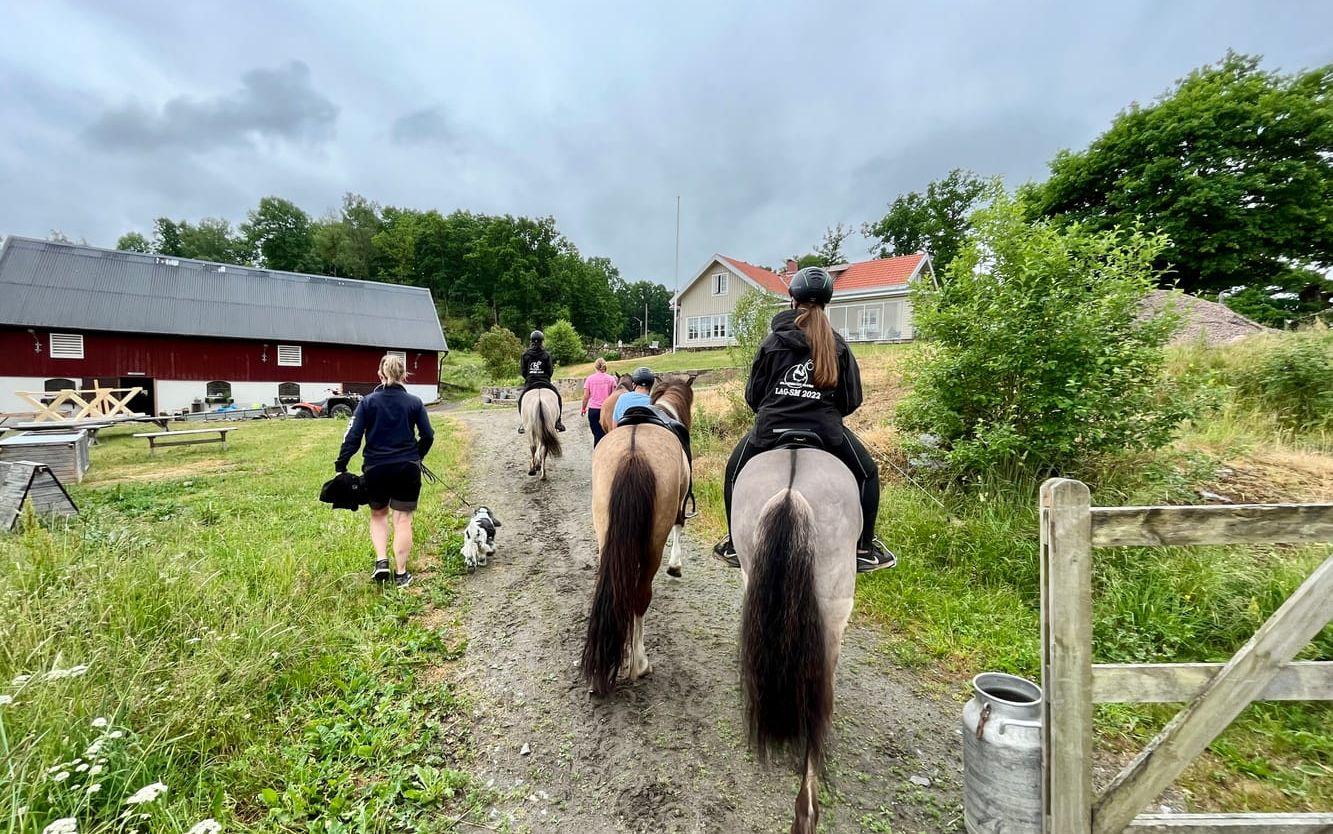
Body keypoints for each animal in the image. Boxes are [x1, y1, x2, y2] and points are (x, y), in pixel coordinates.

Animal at [583, 373, 698, 692]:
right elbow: (680, 527)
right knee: (639, 596)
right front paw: (676, 567)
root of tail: (633, 454)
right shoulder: (679, 507)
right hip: (652, 547)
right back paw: (639, 664)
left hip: (606, 534)